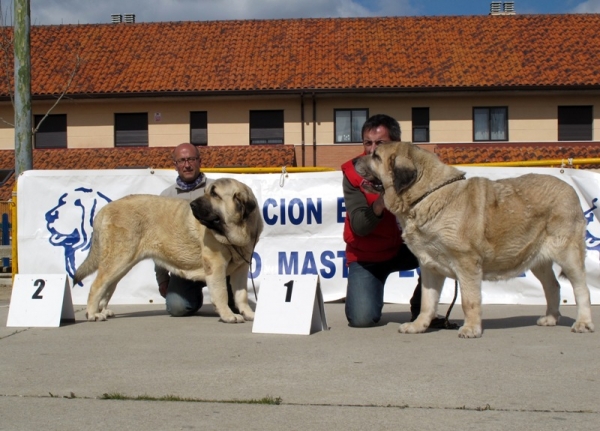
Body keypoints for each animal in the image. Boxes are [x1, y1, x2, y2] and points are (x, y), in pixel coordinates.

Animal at [354, 142, 592, 338]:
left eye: (375, 155)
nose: (354, 160)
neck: (427, 195)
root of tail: (570, 189)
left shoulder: (466, 263)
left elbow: (469, 300)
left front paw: (470, 329)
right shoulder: (429, 266)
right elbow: (427, 302)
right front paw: (418, 326)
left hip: (568, 254)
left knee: (582, 289)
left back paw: (583, 323)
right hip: (538, 260)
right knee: (552, 286)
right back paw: (551, 318)